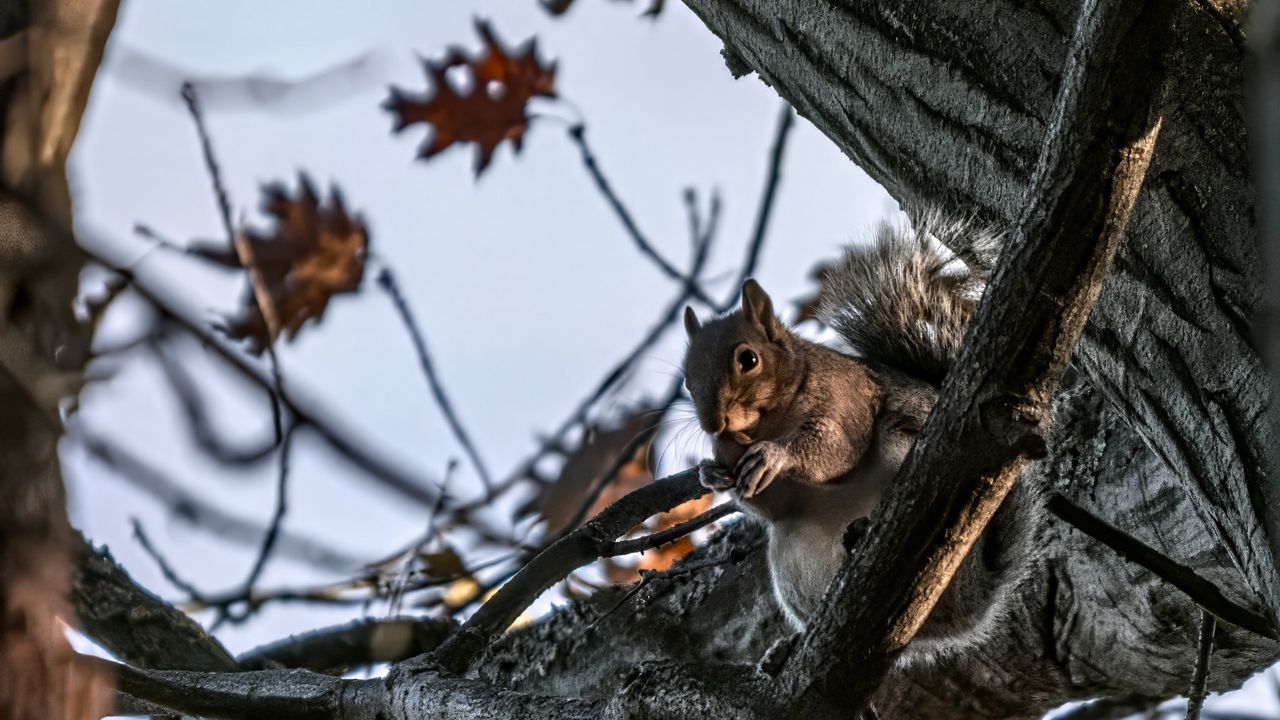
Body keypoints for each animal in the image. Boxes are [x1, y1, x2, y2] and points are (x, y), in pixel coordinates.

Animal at [686, 212, 1034, 666]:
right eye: (687, 379)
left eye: (748, 359)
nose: (714, 424)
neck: (770, 421)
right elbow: (774, 504)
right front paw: (710, 473)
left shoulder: (846, 397)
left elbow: (838, 450)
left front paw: (775, 456)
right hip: (791, 561)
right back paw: (792, 646)